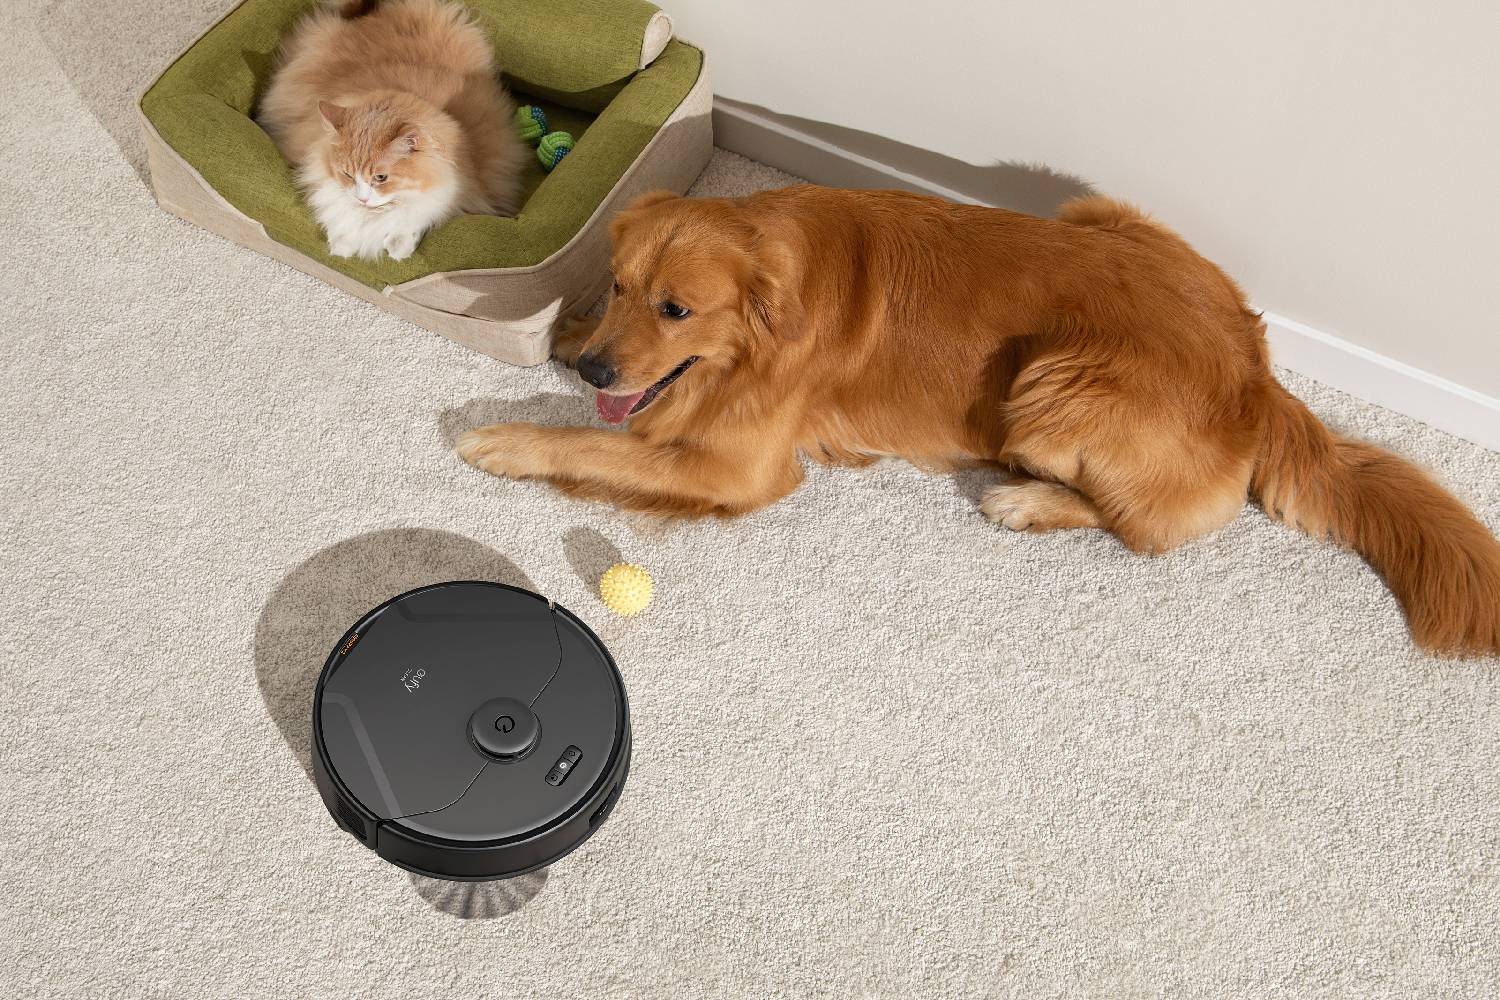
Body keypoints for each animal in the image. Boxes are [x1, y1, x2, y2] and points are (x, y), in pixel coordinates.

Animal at [262, 0, 528, 262]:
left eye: (381, 177)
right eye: (347, 174)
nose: (362, 198)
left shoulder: (462, 189)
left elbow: (416, 216)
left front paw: (399, 245)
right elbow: (338, 207)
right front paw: (342, 243)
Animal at [459, 186, 1500, 656]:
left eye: (677, 309)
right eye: (621, 286)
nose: (600, 366)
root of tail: (1256, 370)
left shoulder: (741, 470)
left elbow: (598, 443)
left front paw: (504, 438)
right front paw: (562, 336)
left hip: (1053, 380)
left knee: (1149, 529)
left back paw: (1025, 502)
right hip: (1094, 214)